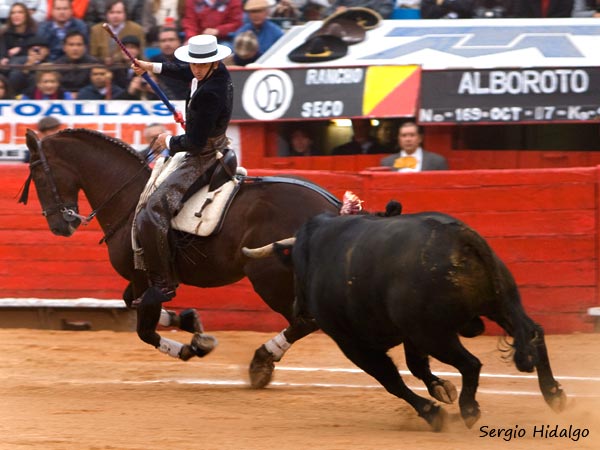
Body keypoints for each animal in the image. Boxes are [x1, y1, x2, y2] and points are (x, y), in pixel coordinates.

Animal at [22, 128, 342, 388]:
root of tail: (333, 208)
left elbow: (144, 328)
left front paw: (192, 347)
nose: (59, 226)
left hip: (269, 278)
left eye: (38, 175)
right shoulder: (143, 278)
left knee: (305, 321)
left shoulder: (145, 278)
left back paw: (260, 363)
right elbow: (132, 304)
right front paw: (193, 326)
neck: (129, 198)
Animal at [241, 209, 564, 430]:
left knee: (471, 363)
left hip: (434, 334)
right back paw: (554, 394)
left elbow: (390, 379)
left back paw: (470, 410)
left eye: (295, 267)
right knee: (533, 332)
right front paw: (441, 389)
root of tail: (457, 235)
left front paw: (433, 412)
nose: (298, 309)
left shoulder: (353, 343)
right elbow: (416, 366)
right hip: (500, 305)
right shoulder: (408, 335)